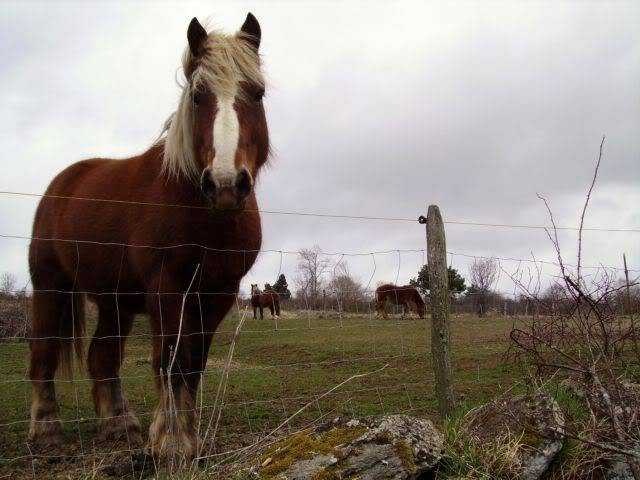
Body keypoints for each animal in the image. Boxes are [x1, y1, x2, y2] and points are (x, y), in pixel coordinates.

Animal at [26, 13, 268, 460]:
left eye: (257, 94)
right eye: (198, 98)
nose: (226, 185)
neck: (204, 215)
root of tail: (61, 183)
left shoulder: (217, 295)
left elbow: (193, 364)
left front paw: (188, 439)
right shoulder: (167, 289)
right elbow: (171, 360)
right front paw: (170, 442)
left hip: (114, 302)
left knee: (101, 356)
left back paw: (119, 426)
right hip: (50, 286)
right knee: (44, 353)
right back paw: (47, 431)